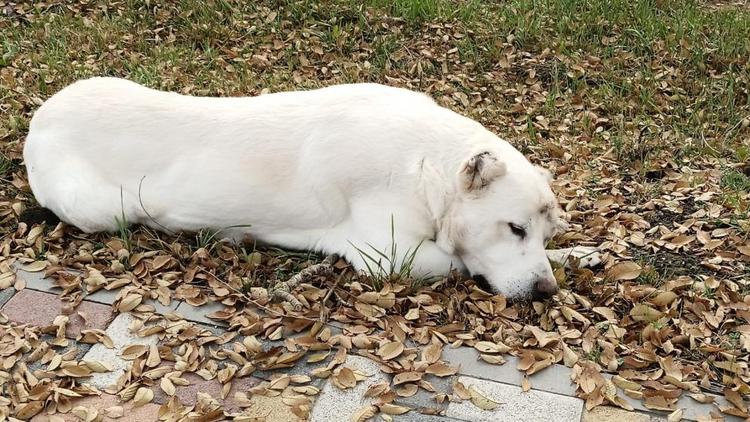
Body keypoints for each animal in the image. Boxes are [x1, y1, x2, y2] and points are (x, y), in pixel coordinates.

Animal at [22, 77, 600, 298]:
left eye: (541, 232)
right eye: (514, 228)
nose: (546, 293)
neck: (426, 164)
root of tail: (39, 119)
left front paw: (579, 254)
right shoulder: (387, 254)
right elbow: (455, 258)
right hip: (100, 208)